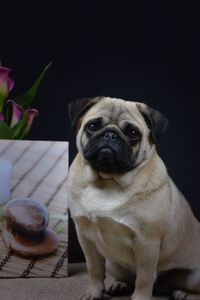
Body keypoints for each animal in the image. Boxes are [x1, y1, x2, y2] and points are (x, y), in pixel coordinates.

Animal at [68, 96, 200, 300]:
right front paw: (94, 293)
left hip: (195, 277)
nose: (110, 135)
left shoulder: (146, 243)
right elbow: (94, 270)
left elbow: (144, 279)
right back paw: (119, 284)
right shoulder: (85, 237)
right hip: (112, 263)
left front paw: (140, 297)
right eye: (92, 126)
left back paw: (184, 293)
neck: (108, 181)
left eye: (132, 133)